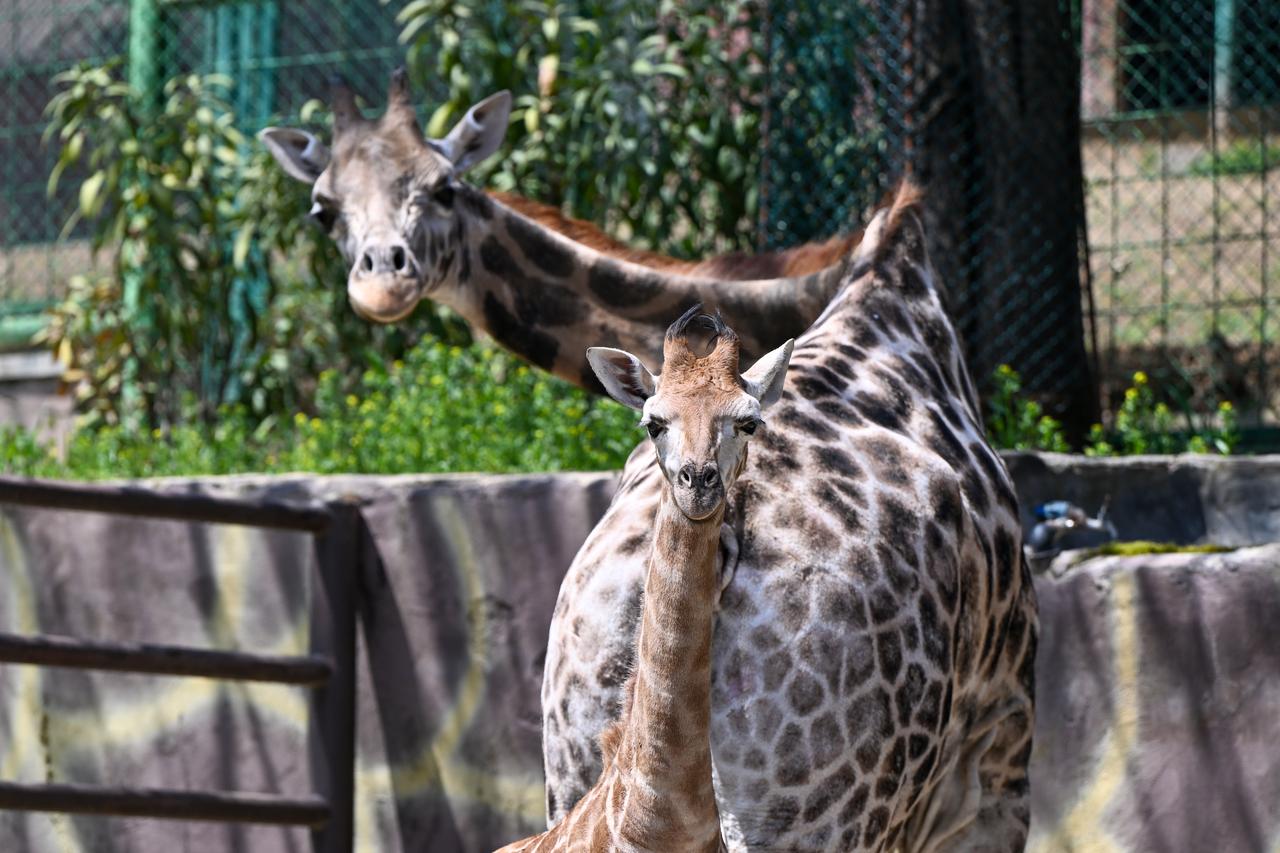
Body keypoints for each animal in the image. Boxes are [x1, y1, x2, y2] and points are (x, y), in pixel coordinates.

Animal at [542, 184, 1037, 851]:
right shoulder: (1000, 757)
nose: (700, 483)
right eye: (653, 423)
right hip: (832, 809)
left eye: (748, 421)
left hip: (572, 755)